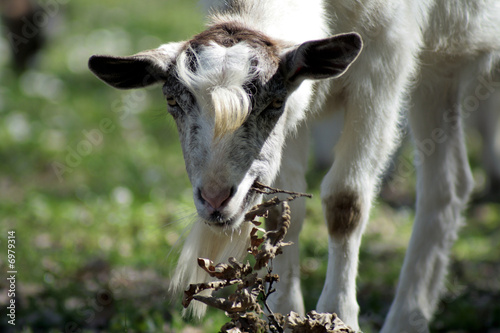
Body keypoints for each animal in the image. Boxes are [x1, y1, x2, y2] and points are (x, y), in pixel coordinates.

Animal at [88, 1, 498, 330]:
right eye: (172, 101)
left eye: (273, 103)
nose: (216, 199)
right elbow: (282, 210)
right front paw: (287, 313)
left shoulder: (388, 57)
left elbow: (345, 201)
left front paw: (339, 317)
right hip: (440, 69)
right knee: (450, 183)